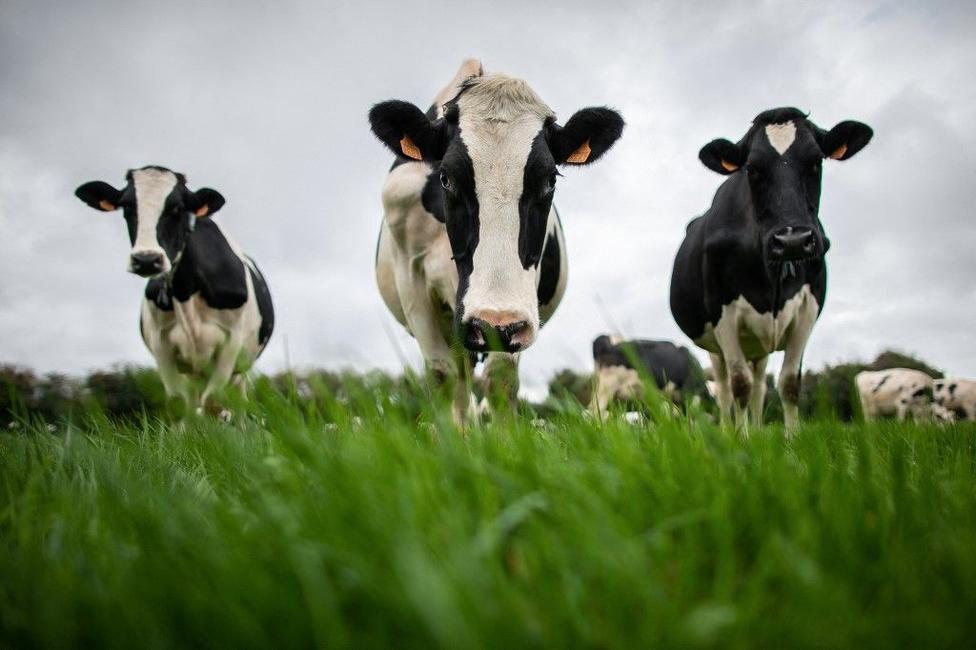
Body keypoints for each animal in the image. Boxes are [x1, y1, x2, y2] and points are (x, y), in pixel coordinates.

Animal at [75, 166, 274, 413]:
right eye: (127, 207)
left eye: (177, 207)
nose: (147, 260)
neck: (186, 291)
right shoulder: (162, 346)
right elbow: (178, 402)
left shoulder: (231, 343)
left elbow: (215, 402)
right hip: (192, 371)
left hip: (239, 367)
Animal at [369, 59, 624, 421]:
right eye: (445, 177)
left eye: (550, 180)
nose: (494, 323)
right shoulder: (412, 279)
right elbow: (441, 375)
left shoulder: (521, 305)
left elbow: (501, 379)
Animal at [669, 107, 873, 432]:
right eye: (751, 169)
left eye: (816, 161)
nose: (792, 240)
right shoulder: (723, 314)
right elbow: (739, 384)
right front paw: (740, 439)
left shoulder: (808, 309)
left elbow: (789, 383)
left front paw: (791, 440)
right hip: (716, 346)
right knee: (726, 388)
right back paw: (729, 430)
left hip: (758, 346)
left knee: (759, 386)